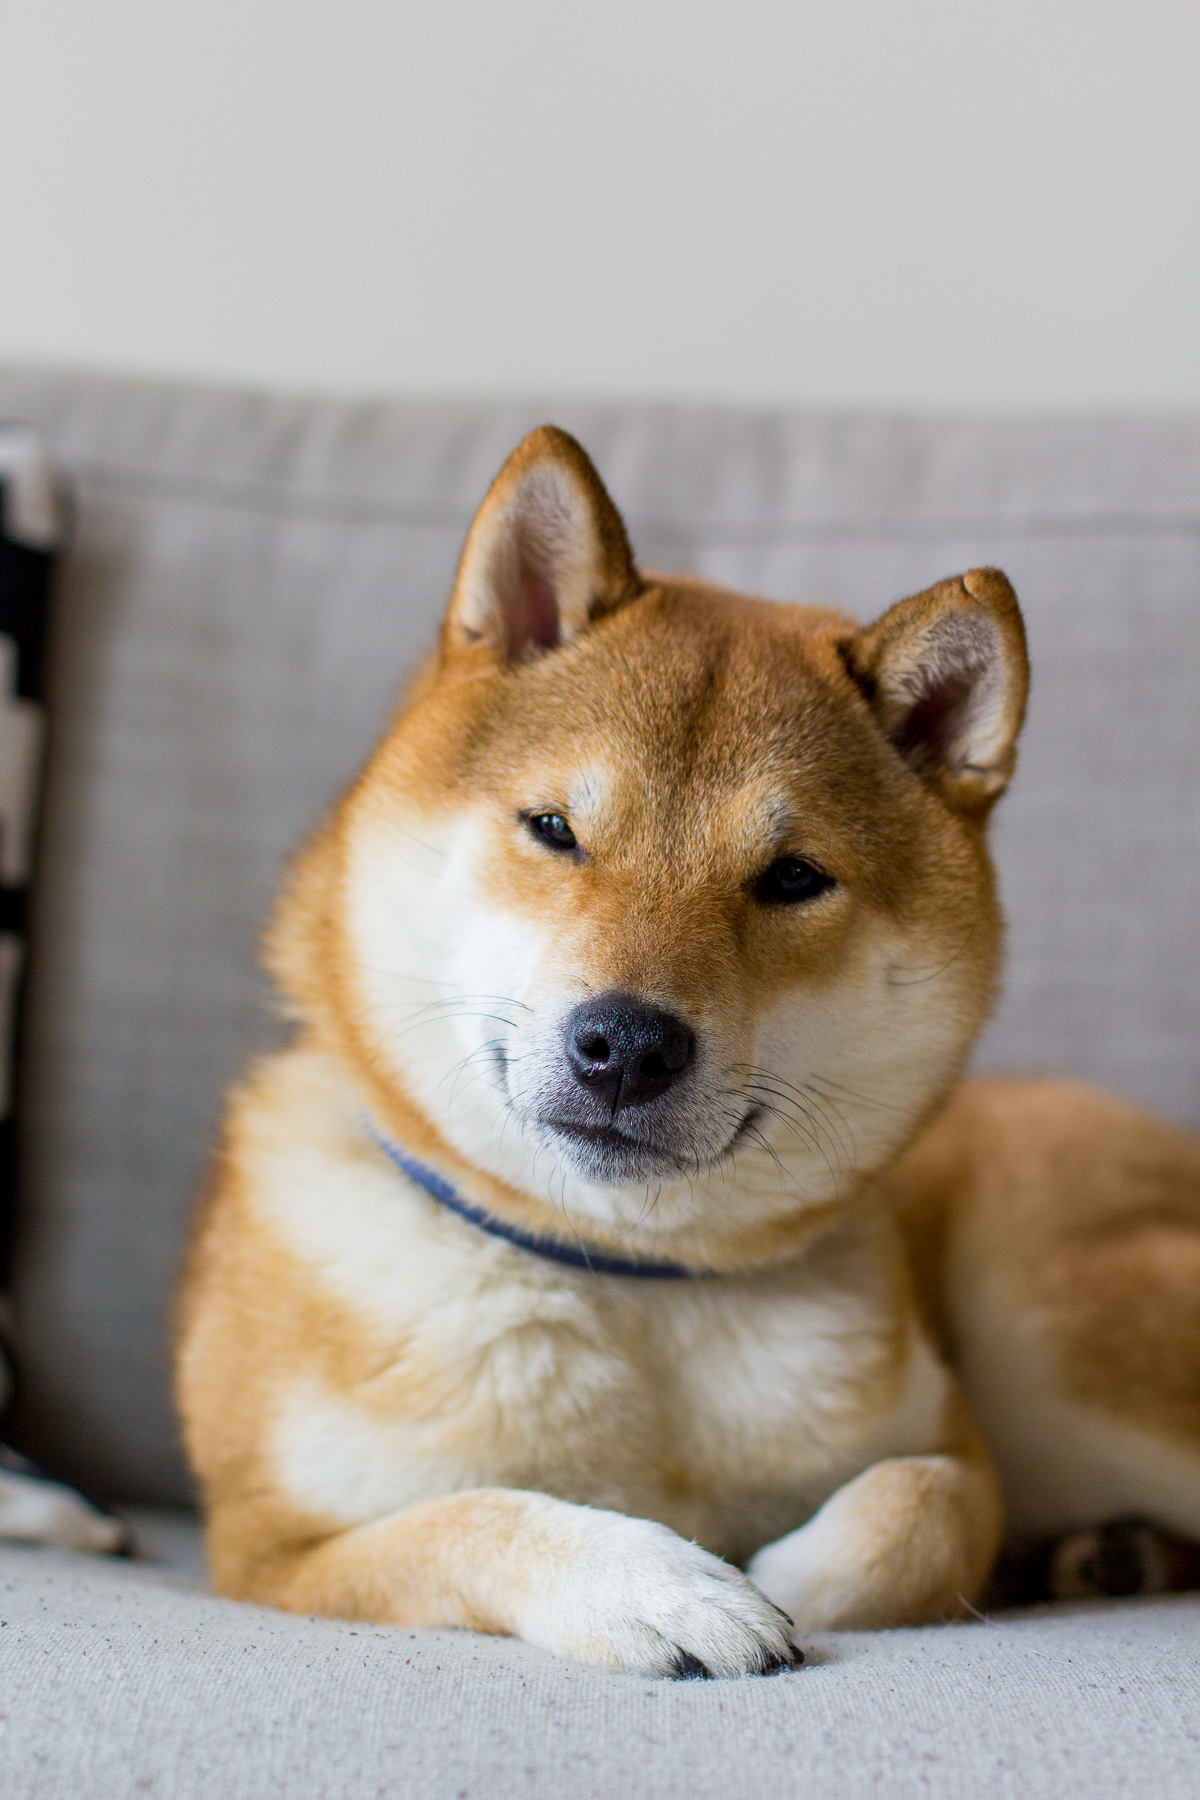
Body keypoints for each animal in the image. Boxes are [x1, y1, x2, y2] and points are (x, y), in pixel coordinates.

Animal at [177, 426, 1200, 1676]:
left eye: (793, 878)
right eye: (555, 829)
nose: (627, 1044)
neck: (630, 1282)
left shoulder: (962, 1449)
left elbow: (915, 1506)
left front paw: (788, 1576)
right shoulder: (270, 1549)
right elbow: (481, 1516)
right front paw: (659, 1585)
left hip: (1053, 1351)